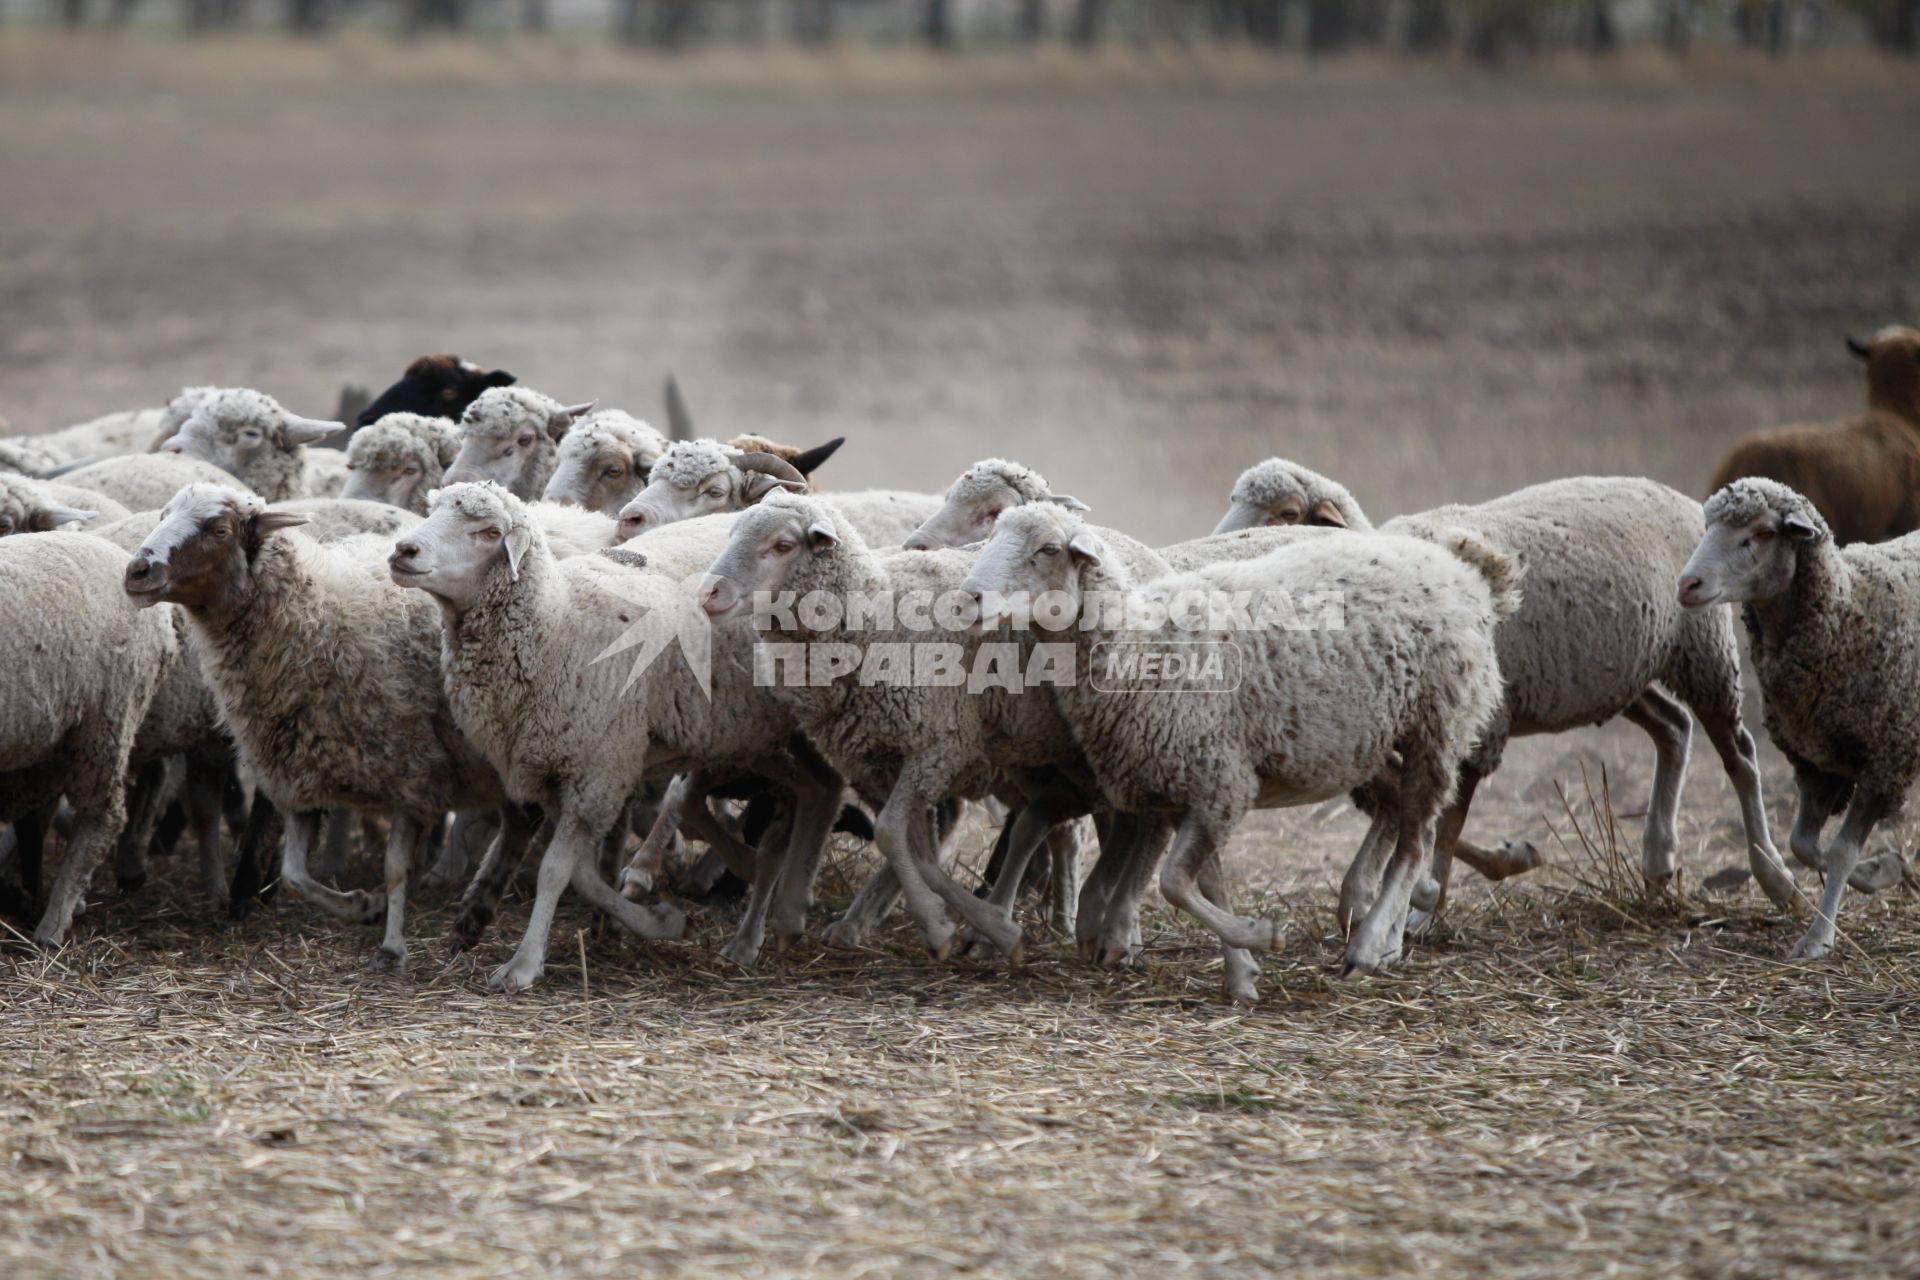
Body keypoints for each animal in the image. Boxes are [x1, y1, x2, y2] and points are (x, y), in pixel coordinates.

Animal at [1681, 479, 1920, 959]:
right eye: (1707, 526)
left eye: (1762, 532)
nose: (1687, 584)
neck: (1848, 610)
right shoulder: (1817, 762)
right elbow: (1804, 845)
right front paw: (1882, 869)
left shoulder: (1885, 760)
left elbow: (1841, 851)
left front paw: (1817, 937)